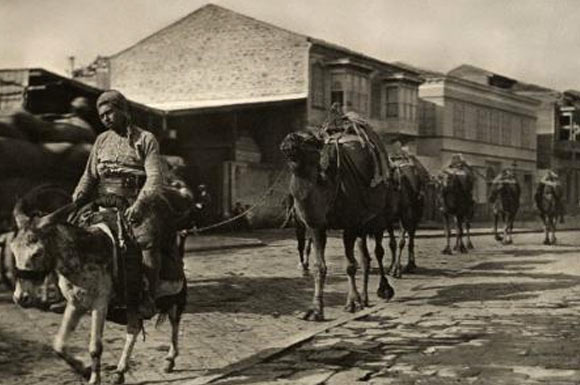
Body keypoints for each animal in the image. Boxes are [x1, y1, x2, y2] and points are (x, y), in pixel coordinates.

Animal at [280, 130, 394, 320]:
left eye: (310, 139)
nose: (289, 140)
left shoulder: (349, 225)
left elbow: (350, 266)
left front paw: (352, 303)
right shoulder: (317, 226)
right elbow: (320, 267)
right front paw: (315, 310)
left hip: (380, 218)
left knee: (379, 251)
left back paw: (385, 289)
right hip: (362, 226)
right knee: (365, 257)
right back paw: (365, 298)